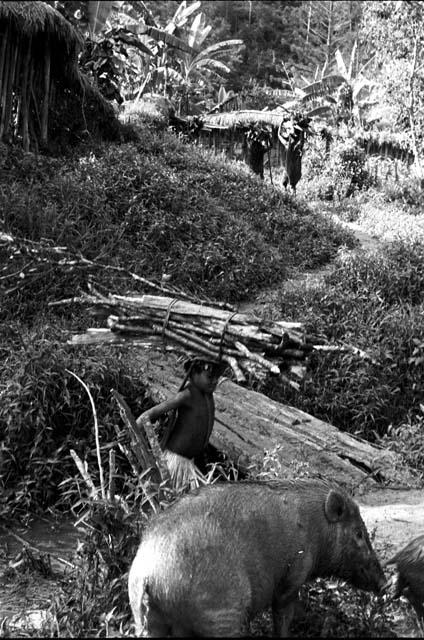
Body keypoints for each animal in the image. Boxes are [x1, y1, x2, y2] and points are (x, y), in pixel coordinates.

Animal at [128, 480, 384, 636]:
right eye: (359, 534)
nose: (384, 583)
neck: (315, 530)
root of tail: (149, 576)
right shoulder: (294, 574)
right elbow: (283, 614)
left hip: (145, 620)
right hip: (221, 612)